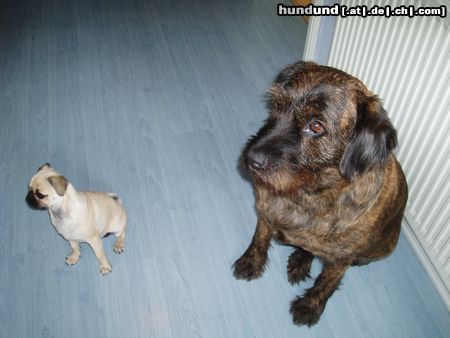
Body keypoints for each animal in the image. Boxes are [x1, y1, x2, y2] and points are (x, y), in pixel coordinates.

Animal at [234, 61, 410, 328]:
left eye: (316, 126)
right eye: (277, 105)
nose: (253, 158)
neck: (305, 194)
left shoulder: (342, 260)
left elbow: (326, 283)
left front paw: (310, 306)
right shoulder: (265, 212)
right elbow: (259, 239)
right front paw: (251, 262)